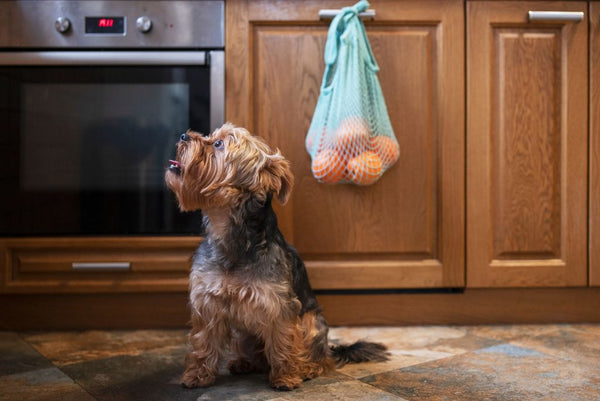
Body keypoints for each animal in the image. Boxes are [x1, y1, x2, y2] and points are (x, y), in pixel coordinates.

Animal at [164, 123, 390, 390]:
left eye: (219, 144)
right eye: (211, 136)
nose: (183, 135)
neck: (230, 236)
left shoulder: (278, 305)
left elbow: (283, 341)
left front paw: (286, 377)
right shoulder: (207, 303)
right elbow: (203, 342)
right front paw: (197, 375)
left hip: (311, 322)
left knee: (320, 356)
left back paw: (308, 367)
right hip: (244, 334)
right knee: (255, 355)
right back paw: (244, 363)